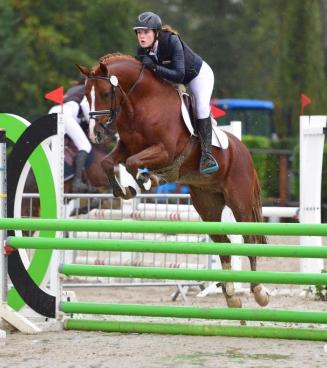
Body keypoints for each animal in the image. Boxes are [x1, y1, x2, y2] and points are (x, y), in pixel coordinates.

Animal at [76, 53, 270, 310]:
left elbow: (133, 163)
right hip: (207, 205)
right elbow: (110, 163)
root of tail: (245, 151)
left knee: (250, 239)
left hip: (240, 201)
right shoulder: (126, 147)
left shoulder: (164, 151)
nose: (95, 134)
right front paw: (126, 190)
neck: (141, 104)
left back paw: (259, 292)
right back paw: (231, 296)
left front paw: (148, 179)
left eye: (106, 93)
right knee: (223, 242)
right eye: (86, 95)